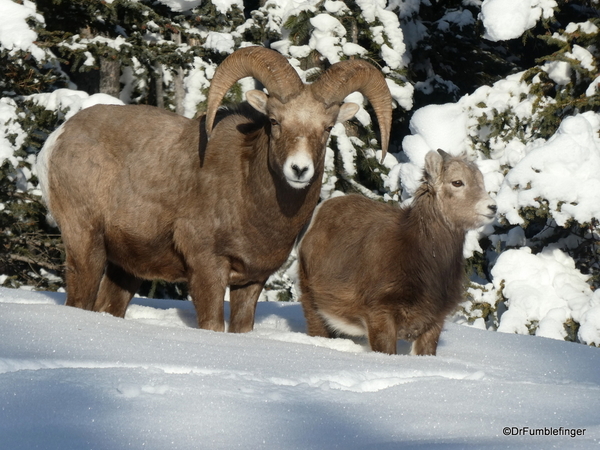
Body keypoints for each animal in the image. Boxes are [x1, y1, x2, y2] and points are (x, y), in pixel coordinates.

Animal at [37, 46, 394, 330]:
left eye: (327, 127)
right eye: (275, 121)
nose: (299, 169)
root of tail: (56, 140)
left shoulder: (251, 281)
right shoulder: (207, 268)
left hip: (125, 268)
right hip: (86, 245)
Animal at [296, 150, 496, 356]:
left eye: (481, 181)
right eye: (457, 182)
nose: (492, 207)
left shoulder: (433, 321)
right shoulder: (379, 314)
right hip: (312, 302)